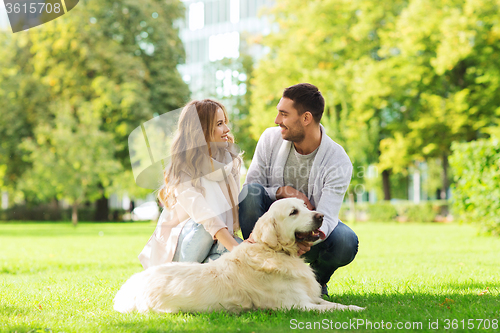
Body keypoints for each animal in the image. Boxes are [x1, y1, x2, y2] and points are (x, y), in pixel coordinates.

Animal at [113, 198, 364, 312]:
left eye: (305, 206)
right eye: (294, 212)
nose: (320, 215)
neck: (272, 251)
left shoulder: (308, 298)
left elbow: (331, 303)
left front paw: (355, 307)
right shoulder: (296, 305)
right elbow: (330, 308)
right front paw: (358, 311)